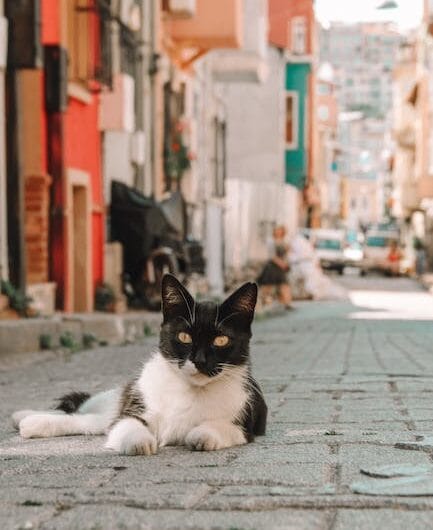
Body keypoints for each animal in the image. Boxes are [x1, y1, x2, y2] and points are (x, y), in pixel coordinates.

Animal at [11, 272, 266, 454]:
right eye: (184, 336)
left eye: (220, 340)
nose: (199, 360)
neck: (191, 390)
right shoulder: (133, 409)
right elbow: (127, 425)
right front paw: (140, 442)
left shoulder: (247, 423)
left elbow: (224, 427)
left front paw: (202, 435)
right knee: (86, 413)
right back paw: (25, 417)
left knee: (89, 422)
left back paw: (28, 422)